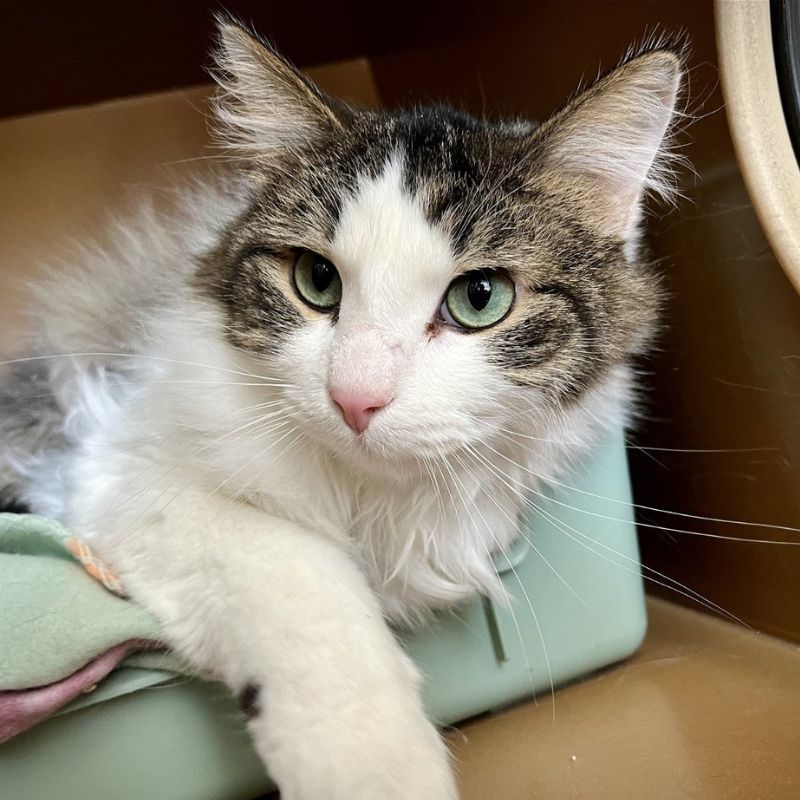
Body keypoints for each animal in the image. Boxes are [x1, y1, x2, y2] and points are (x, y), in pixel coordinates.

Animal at [1, 18, 680, 800]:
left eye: (481, 298)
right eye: (316, 280)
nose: (355, 398)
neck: (369, 500)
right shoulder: (119, 467)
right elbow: (302, 582)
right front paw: (377, 769)